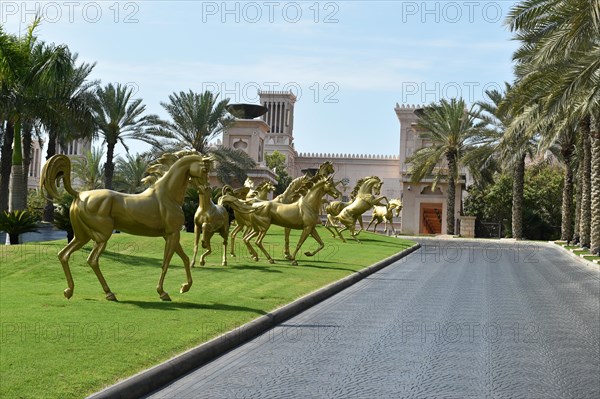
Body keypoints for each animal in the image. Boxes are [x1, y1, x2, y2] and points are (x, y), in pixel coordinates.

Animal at [39, 152, 209, 300]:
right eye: (204, 169)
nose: (206, 189)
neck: (167, 195)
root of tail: (79, 194)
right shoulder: (173, 234)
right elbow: (165, 264)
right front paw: (163, 293)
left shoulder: (169, 235)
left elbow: (185, 259)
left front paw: (185, 287)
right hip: (102, 237)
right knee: (92, 260)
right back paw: (109, 294)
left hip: (82, 236)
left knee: (63, 255)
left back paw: (69, 291)